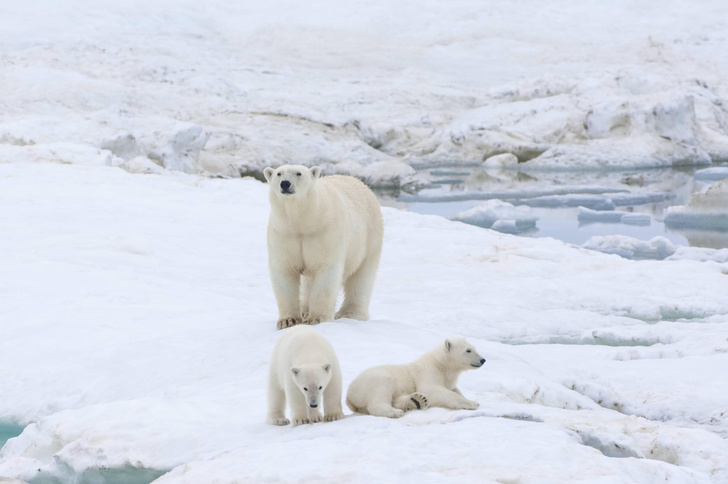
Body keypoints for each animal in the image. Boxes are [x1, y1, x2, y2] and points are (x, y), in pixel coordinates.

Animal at [264, 165, 384, 328]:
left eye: (298, 173)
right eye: (279, 173)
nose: (285, 184)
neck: (303, 222)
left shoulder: (325, 233)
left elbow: (326, 269)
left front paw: (317, 318)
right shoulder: (284, 234)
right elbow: (285, 269)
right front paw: (288, 320)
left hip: (370, 236)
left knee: (362, 275)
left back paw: (350, 313)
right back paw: (305, 309)